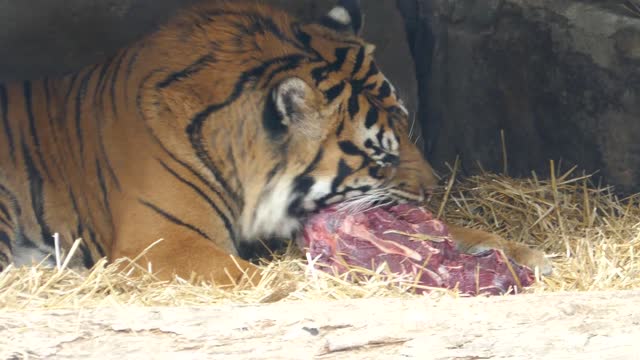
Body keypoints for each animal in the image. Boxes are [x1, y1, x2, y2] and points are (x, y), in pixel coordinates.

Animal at [0, 0, 552, 286]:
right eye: (380, 156)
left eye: (406, 123)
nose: (434, 187)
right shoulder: (164, 242)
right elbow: (253, 275)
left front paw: (524, 253)